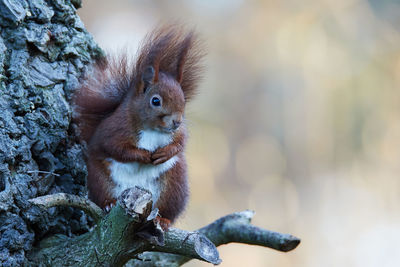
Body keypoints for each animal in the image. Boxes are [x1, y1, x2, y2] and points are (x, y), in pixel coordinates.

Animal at [73, 26, 203, 229]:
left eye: (183, 99)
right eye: (155, 101)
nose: (176, 122)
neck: (153, 130)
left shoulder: (178, 133)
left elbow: (180, 143)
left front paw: (165, 153)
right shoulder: (115, 129)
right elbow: (116, 148)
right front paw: (142, 155)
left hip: (174, 187)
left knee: (168, 211)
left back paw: (163, 219)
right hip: (99, 180)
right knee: (103, 196)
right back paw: (109, 204)